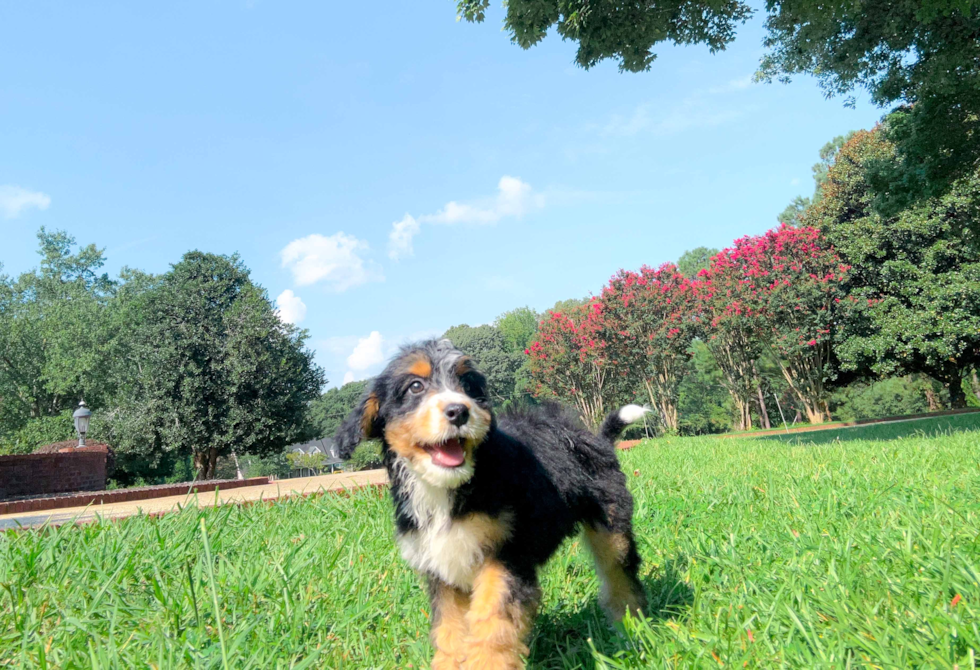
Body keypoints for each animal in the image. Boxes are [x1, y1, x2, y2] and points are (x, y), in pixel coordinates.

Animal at [336, 342, 652, 670]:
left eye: (468, 386)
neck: (447, 490)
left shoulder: (505, 553)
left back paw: (631, 631)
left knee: (621, 578)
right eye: (415, 386)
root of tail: (597, 440)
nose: (459, 411)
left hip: (611, 525)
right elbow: (449, 630)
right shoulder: (441, 568)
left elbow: (492, 619)